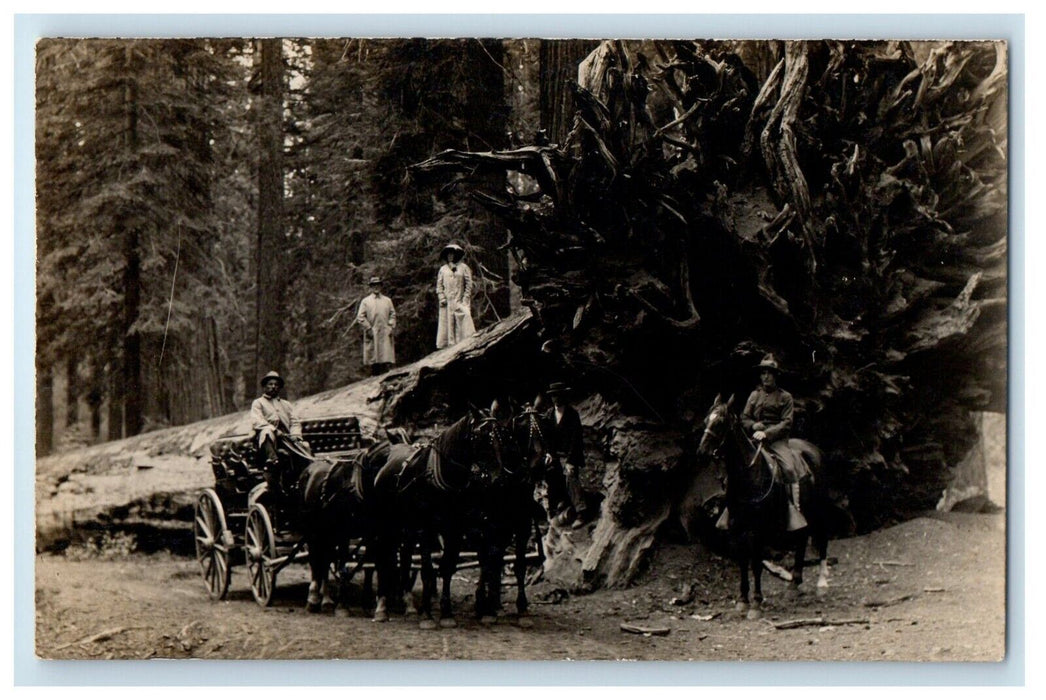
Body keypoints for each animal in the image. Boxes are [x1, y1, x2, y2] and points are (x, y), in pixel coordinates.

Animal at [368, 403, 514, 627]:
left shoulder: (454, 528)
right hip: (385, 524)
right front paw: (427, 616)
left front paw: (446, 613)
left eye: (502, 437)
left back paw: (408, 604)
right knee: (383, 557)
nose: (500, 479)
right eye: (481, 438)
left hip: (407, 527)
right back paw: (382, 607)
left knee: (404, 556)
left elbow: (447, 567)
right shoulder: (426, 529)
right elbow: (428, 570)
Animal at [698, 393, 828, 615]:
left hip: (818, 510)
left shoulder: (757, 530)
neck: (749, 476)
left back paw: (821, 584)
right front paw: (743, 600)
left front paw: (757, 603)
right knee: (802, 540)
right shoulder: (736, 529)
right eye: (707, 420)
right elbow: (743, 562)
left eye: (721, 422)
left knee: (822, 538)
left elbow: (756, 564)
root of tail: (815, 450)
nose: (702, 452)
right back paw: (794, 584)